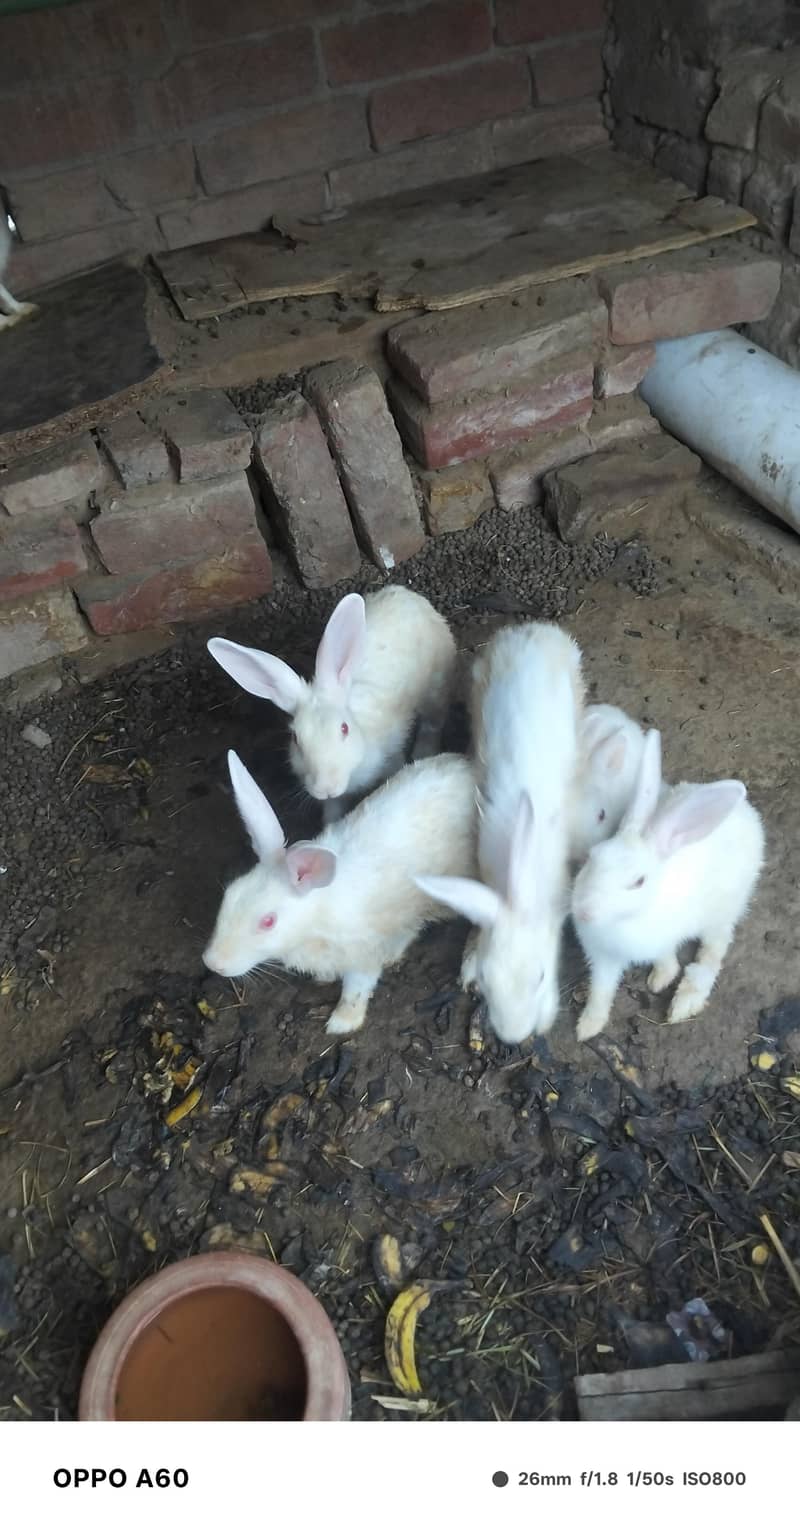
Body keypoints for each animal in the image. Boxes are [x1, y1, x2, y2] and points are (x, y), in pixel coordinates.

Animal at [203, 748, 478, 1037]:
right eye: (229, 894)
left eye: (268, 921)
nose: (212, 963)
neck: (316, 912)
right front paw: (325, 979)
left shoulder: (361, 956)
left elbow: (356, 990)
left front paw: (342, 1023)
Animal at [207, 585, 456, 826]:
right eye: (295, 738)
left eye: (344, 729)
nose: (326, 788)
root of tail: (406, 594)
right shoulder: (335, 800)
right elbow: (332, 812)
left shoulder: (391, 757)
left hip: (436, 686)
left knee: (433, 722)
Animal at [571, 727, 765, 1042]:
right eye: (592, 857)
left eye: (639, 881)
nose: (584, 912)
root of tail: (747, 813)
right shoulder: (603, 960)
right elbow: (601, 991)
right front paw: (588, 1027)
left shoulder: (661, 939)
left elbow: (667, 959)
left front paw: (662, 978)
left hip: (722, 910)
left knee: (714, 949)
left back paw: (687, 1000)